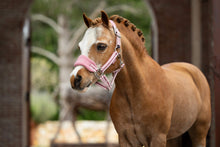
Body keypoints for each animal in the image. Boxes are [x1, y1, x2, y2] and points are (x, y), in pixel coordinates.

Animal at [70, 10, 211, 147]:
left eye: (101, 46)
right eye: (80, 47)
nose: (75, 79)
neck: (138, 90)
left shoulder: (157, 138)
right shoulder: (126, 139)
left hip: (199, 134)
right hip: (173, 137)